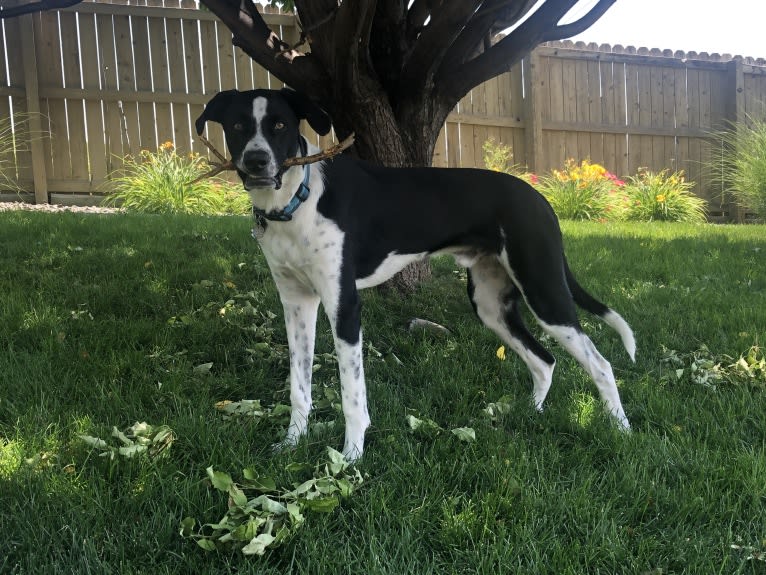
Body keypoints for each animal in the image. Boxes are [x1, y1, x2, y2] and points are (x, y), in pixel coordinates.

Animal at [196, 88, 636, 462]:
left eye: (280, 126)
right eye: (238, 126)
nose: (256, 161)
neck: (297, 201)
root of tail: (540, 198)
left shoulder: (344, 306)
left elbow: (352, 393)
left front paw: (351, 458)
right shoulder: (296, 304)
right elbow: (299, 386)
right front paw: (291, 443)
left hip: (543, 291)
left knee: (600, 365)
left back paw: (621, 431)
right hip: (490, 304)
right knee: (544, 361)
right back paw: (528, 415)